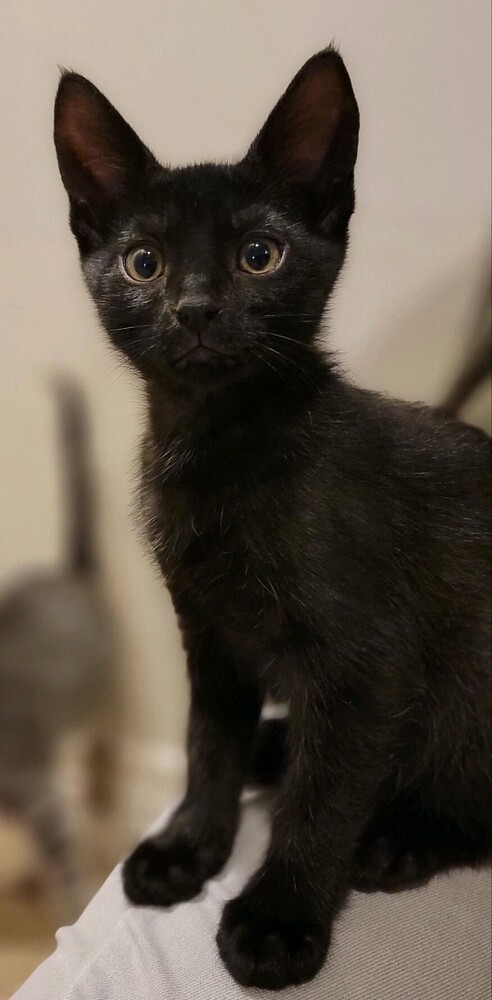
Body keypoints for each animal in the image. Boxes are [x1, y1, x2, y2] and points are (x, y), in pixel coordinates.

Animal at [53, 48, 488, 992]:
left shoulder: (365, 661)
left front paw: (281, 915)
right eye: (143, 263)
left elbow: (324, 796)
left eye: (260, 255)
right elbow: (206, 740)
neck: (221, 448)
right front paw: (190, 846)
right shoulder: (210, 627)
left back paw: (399, 839)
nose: (196, 308)